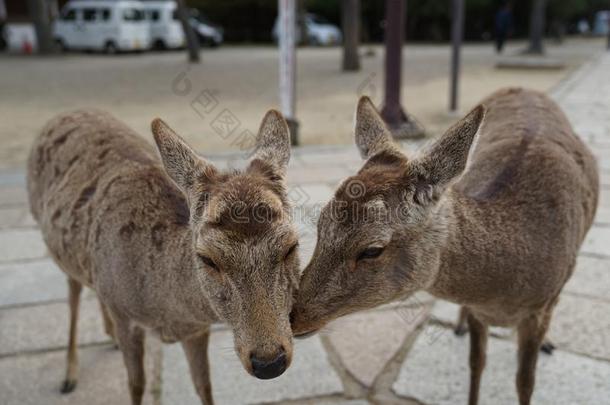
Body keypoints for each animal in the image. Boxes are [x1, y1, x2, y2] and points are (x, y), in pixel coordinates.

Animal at [27, 108, 300, 404]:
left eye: (291, 246)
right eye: (207, 258)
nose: (269, 362)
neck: (169, 310)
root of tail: (64, 114)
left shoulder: (196, 330)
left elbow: (204, 385)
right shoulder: (126, 317)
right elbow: (136, 384)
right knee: (73, 292)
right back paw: (69, 376)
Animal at [290, 89, 600, 404]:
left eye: (372, 249)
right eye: (320, 223)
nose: (292, 317)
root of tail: (522, 89)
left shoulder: (538, 308)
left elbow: (525, 381)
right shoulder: (477, 309)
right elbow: (476, 363)